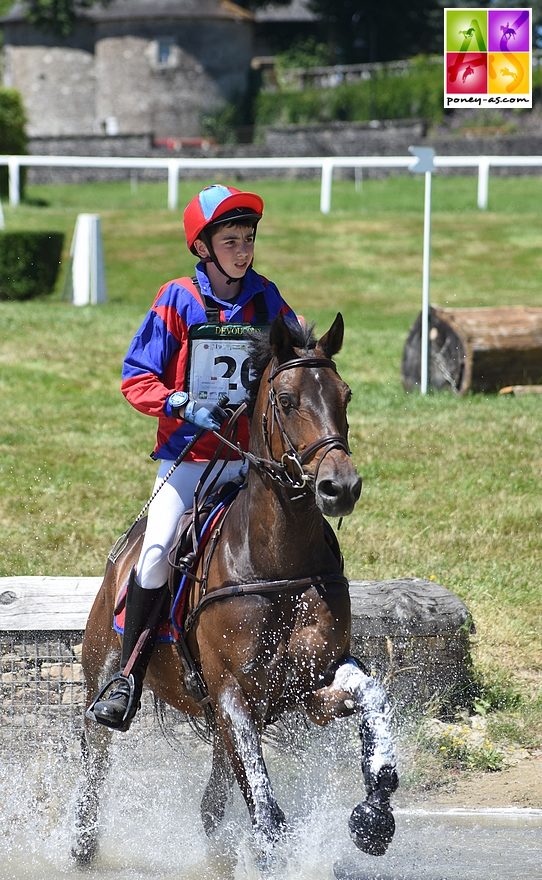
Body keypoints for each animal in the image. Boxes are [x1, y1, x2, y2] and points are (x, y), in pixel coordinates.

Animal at [73, 312, 400, 868]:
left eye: (346, 395)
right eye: (287, 400)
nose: (340, 487)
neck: (279, 560)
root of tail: (123, 554)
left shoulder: (312, 685)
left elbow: (372, 696)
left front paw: (375, 811)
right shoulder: (232, 693)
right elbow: (266, 813)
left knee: (212, 804)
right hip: (106, 673)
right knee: (94, 770)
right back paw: (82, 845)